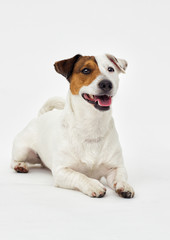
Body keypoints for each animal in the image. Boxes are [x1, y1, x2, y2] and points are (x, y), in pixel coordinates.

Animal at [11, 54, 135, 199]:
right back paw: (20, 165)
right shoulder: (61, 171)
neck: (92, 124)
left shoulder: (116, 167)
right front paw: (93, 184)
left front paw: (124, 186)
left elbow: (120, 176)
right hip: (22, 150)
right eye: (86, 70)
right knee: (13, 160)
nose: (106, 83)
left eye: (110, 69)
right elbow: (79, 175)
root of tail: (41, 116)